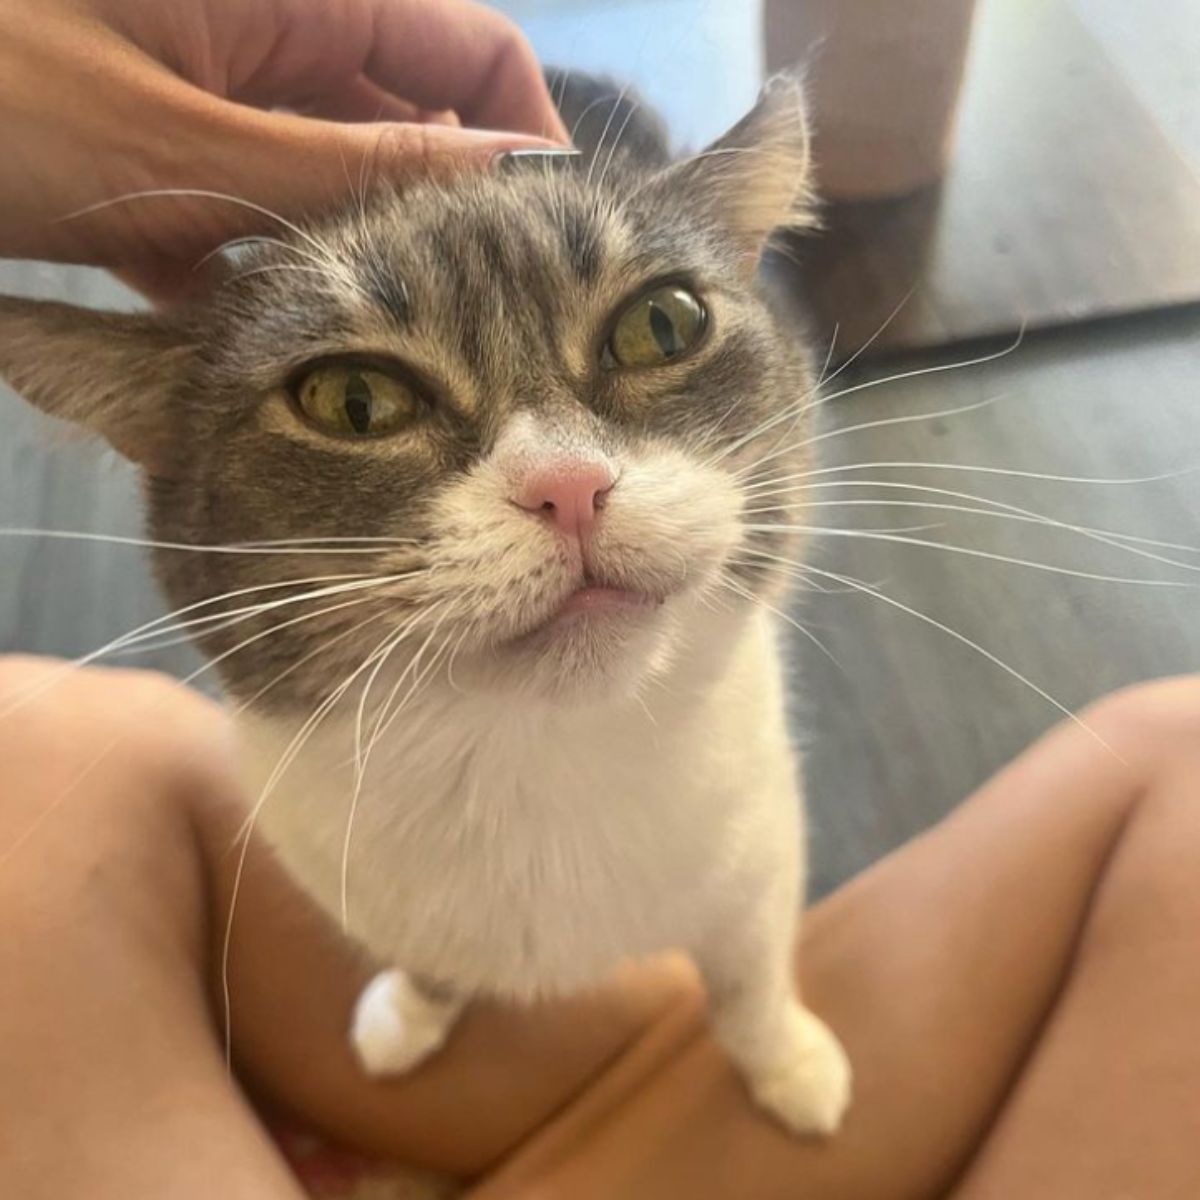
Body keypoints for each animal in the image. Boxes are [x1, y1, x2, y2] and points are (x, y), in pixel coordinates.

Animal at [0, 72, 854, 1190]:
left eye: (664, 325)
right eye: (352, 400)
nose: (568, 486)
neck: (539, 758)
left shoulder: (758, 852)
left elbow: (749, 974)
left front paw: (792, 1067)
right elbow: (430, 957)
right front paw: (407, 1014)